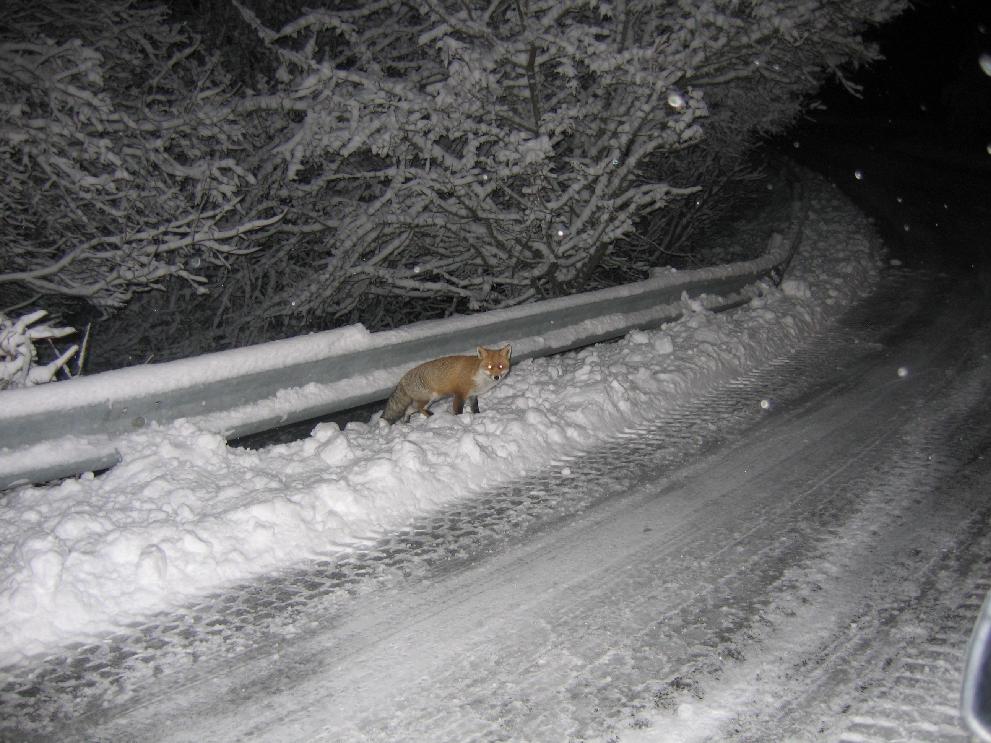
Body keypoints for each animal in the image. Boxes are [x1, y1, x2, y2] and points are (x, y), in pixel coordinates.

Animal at [382, 345, 512, 424]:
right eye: (489, 367)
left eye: (500, 366)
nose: (496, 377)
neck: (478, 375)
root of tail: (403, 378)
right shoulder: (460, 394)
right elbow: (458, 410)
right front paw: (459, 420)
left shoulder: (472, 395)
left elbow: (475, 408)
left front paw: (477, 416)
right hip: (428, 399)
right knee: (418, 409)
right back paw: (431, 415)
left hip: (427, 400)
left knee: (408, 410)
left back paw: (406, 422)